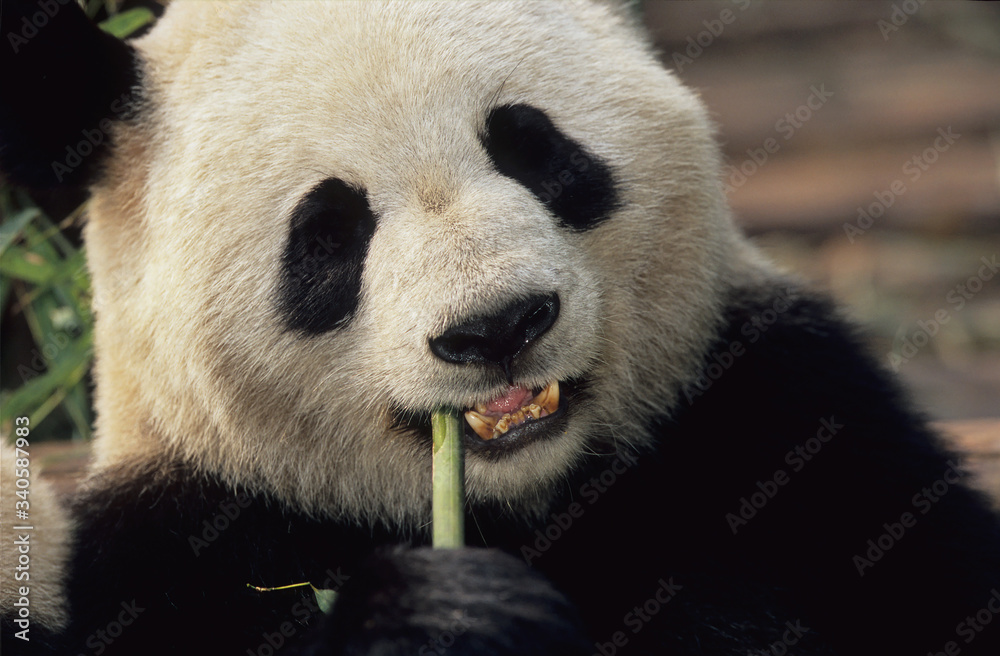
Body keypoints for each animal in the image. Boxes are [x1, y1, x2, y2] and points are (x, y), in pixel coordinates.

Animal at [3, 0, 1000, 654]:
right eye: (327, 233)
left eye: (533, 148)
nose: (496, 326)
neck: (528, 504)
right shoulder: (184, 543)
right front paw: (444, 622)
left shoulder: (787, 411)